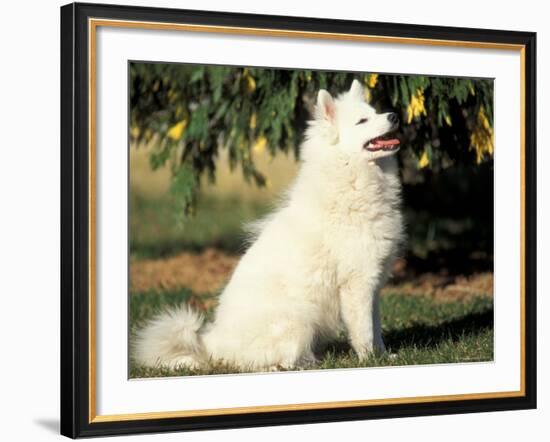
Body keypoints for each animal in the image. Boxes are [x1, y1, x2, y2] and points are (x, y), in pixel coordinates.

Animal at [135, 78, 406, 370]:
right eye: (362, 121)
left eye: (376, 112)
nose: (394, 115)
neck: (350, 178)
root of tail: (210, 345)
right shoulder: (357, 283)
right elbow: (363, 331)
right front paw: (369, 361)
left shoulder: (374, 283)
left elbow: (375, 329)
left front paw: (384, 356)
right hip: (298, 318)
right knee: (269, 361)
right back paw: (300, 363)